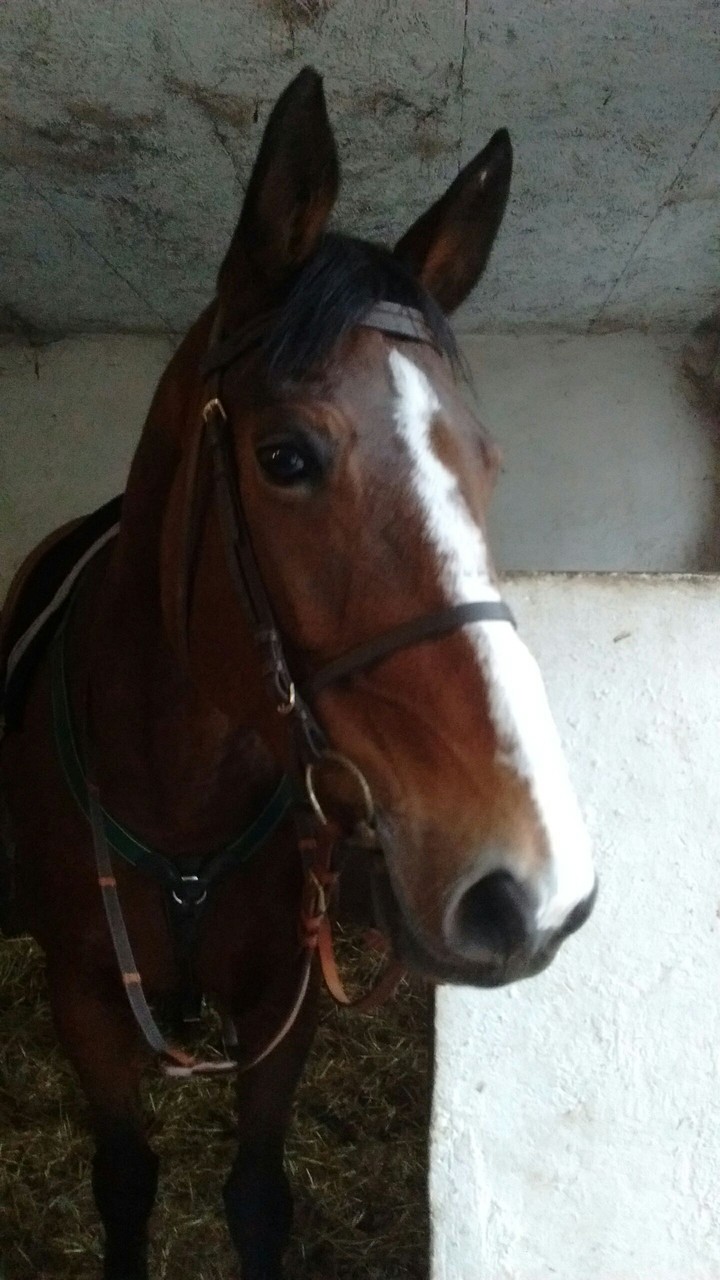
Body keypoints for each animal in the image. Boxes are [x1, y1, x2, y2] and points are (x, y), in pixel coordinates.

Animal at [0, 67, 596, 1280]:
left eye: (488, 463)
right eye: (286, 457)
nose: (535, 886)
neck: (175, 795)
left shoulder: (286, 996)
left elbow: (257, 1194)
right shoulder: (81, 999)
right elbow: (124, 1178)